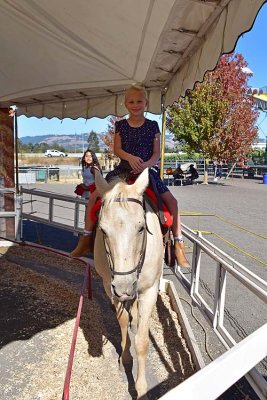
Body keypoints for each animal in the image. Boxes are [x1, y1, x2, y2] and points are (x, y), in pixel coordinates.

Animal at [94, 168, 165, 396]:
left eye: (141, 228)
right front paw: (125, 358)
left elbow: (142, 341)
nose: (124, 287)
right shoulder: (111, 288)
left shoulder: (149, 291)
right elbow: (122, 321)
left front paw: (141, 388)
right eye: (103, 230)